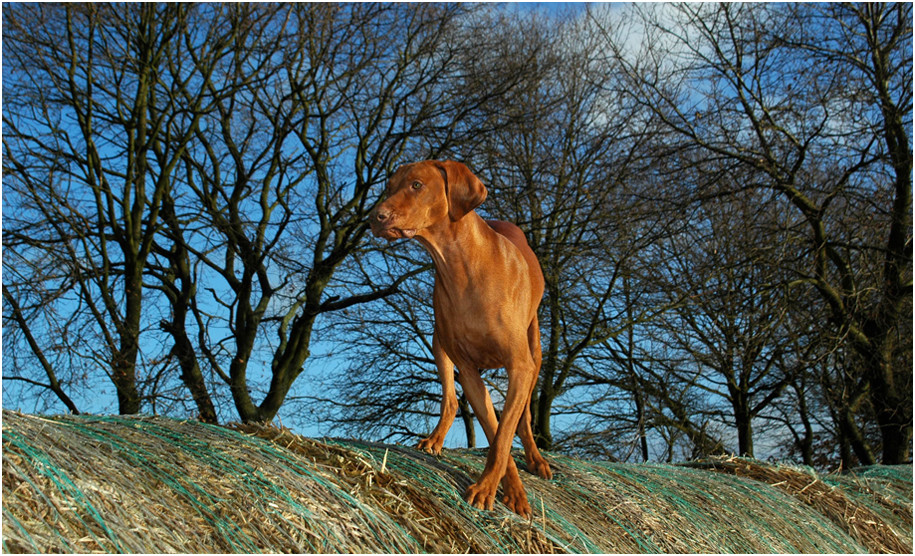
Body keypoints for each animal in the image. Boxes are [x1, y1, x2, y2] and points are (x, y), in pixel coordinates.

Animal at [370, 159, 552, 516]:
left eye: (416, 185)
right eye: (389, 186)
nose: (375, 217)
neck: (460, 267)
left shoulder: (519, 367)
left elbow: (503, 435)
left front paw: (505, 492)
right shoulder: (467, 372)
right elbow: (495, 433)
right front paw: (503, 488)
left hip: (535, 350)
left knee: (524, 417)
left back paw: (537, 460)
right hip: (439, 343)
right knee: (451, 402)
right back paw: (435, 439)